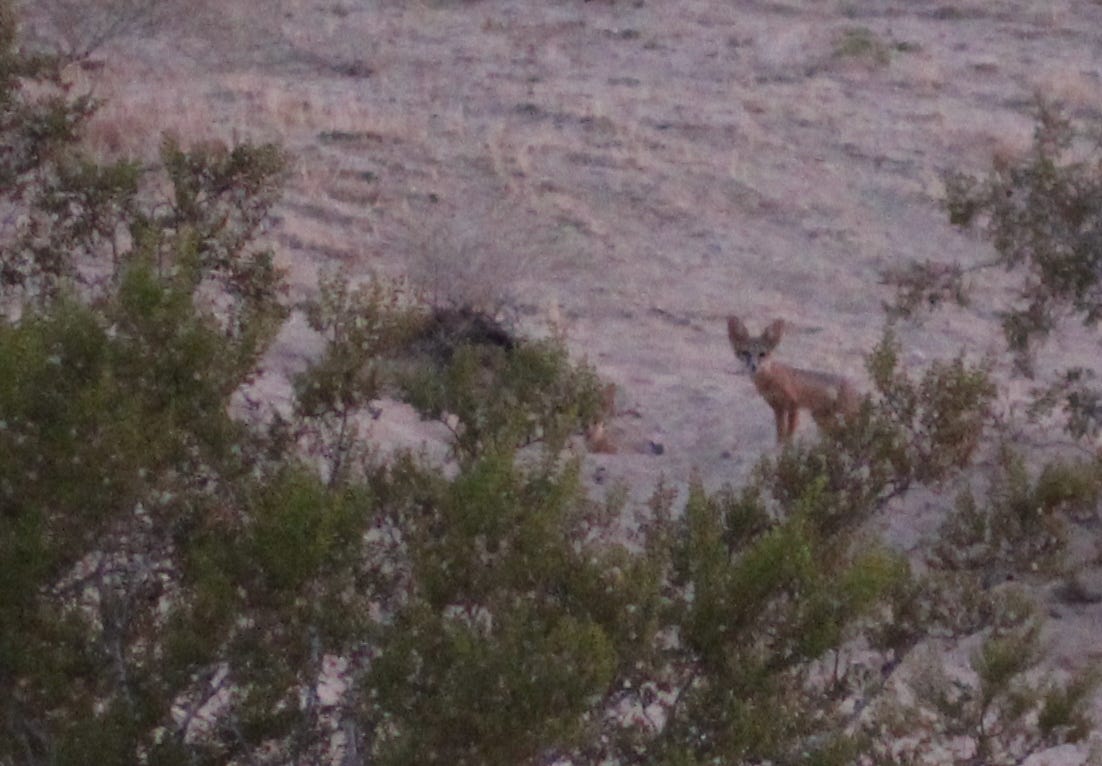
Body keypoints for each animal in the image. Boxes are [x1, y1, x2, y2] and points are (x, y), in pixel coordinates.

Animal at [722, 315, 859, 443]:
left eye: (762, 354)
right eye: (745, 353)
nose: (753, 366)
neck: (769, 382)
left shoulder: (793, 404)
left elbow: (790, 433)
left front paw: (788, 448)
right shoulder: (777, 407)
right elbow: (780, 434)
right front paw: (780, 448)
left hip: (838, 414)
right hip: (820, 416)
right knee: (837, 432)